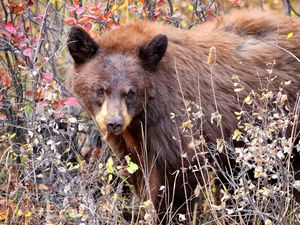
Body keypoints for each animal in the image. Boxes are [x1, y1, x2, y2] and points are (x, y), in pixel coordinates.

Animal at [66, 9, 300, 222]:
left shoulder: (176, 120)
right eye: (100, 90)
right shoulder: (131, 140)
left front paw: (166, 215)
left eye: (130, 92)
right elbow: (137, 172)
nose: (113, 123)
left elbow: (177, 177)